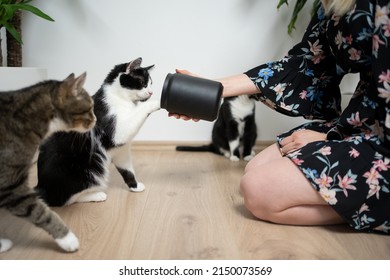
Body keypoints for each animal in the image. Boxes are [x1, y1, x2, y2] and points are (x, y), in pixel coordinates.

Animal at [35, 57, 160, 207]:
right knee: (64, 199)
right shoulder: (117, 131)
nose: (151, 93)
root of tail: (41, 187)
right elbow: (139, 112)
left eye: (151, 84)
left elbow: (127, 170)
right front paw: (158, 102)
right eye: (142, 83)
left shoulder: (121, 151)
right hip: (87, 170)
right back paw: (97, 195)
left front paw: (134, 186)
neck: (120, 99)